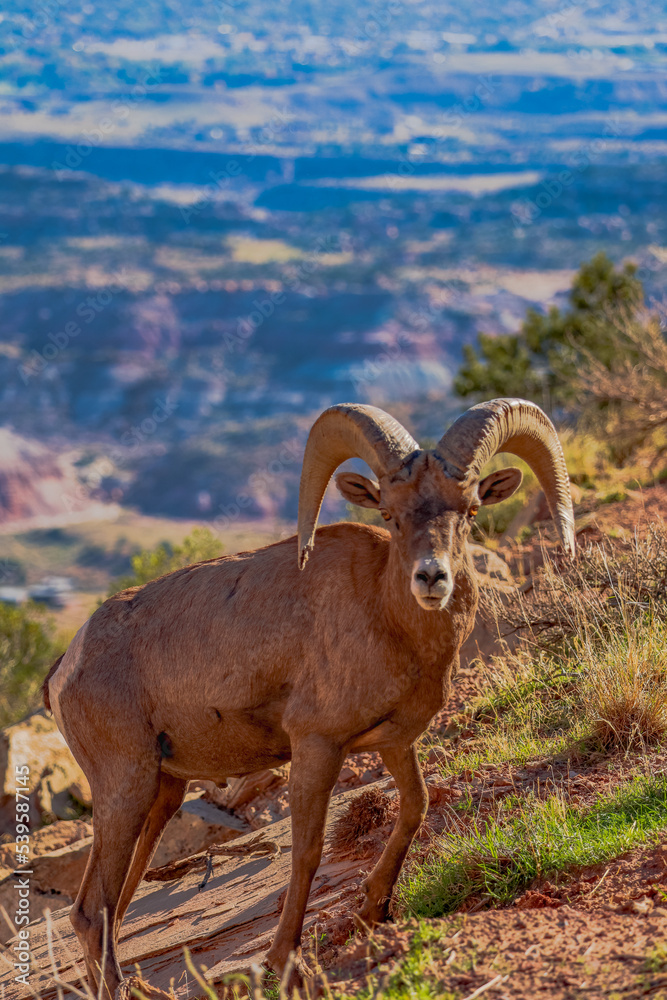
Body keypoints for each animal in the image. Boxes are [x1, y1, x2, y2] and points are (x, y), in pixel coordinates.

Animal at [44, 397, 575, 996]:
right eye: (389, 513)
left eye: (470, 511)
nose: (431, 578)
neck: (386, 618)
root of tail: (66, 668)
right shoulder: (317, 745)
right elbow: (307, 852)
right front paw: (282, 962)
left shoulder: (394, 744)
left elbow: (415, 807)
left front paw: (373, 910)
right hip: (125, 787)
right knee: (91, 910)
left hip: (162, 794)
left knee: (114, 904)